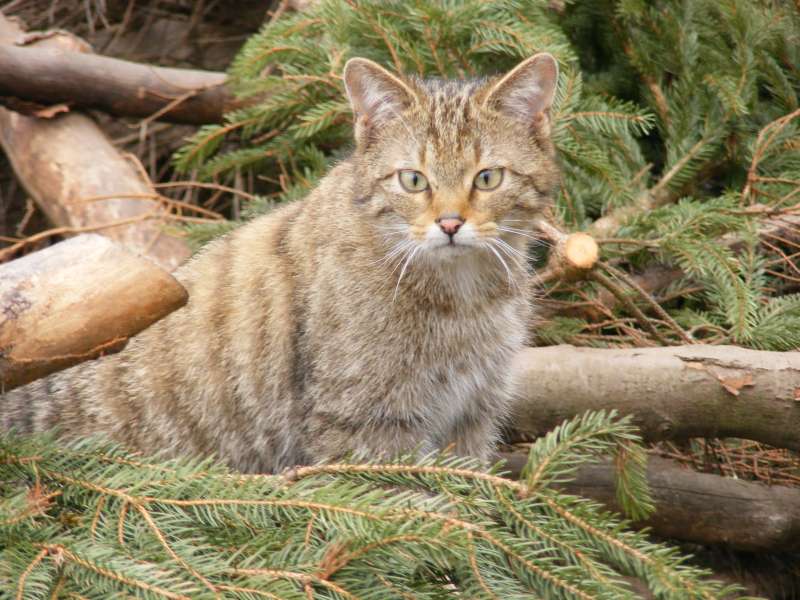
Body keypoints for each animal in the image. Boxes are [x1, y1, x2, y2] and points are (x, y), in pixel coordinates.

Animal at [0, 52, 560, 474]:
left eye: (487, 178)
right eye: (413, 180)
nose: (449, 223)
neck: (462, 295)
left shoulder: (472, 415)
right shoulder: (366, 425)